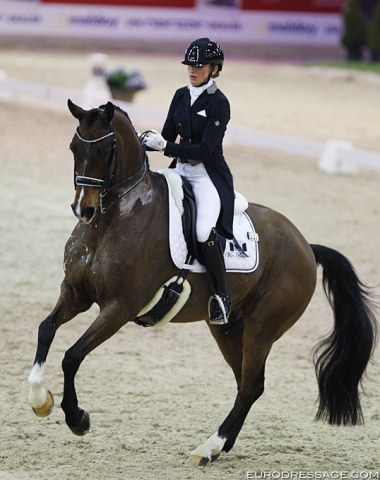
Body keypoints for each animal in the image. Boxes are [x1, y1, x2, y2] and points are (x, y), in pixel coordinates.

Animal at [27, 100, 378, 464]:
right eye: (74, 147)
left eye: (106, 150)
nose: (83, 209)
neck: (111, 220)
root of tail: (306, 246)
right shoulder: (76, 293)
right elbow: (46, 329)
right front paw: (40, 400)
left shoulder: (120, 307)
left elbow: (72, 355)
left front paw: (77, 418)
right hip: (228, 328)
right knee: (247, 384)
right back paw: (221, 446)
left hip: (262, 326)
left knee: (250, 386)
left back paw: (209, 447)